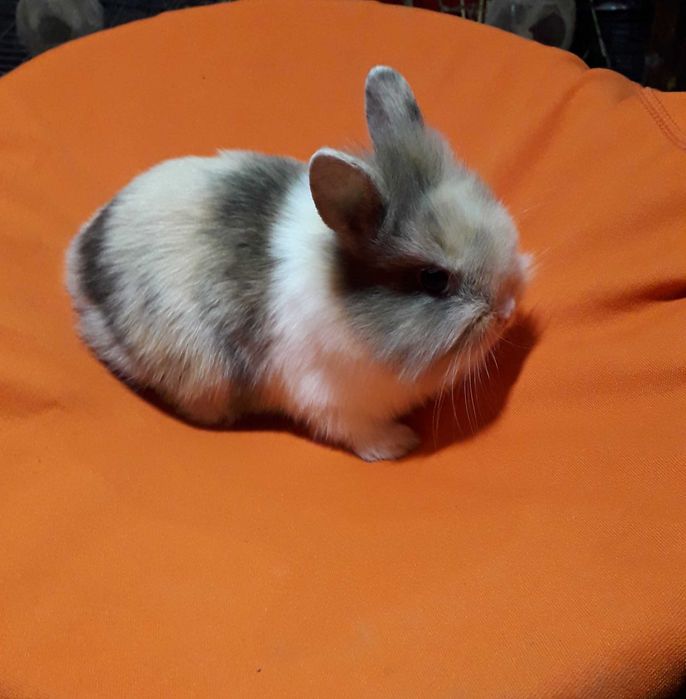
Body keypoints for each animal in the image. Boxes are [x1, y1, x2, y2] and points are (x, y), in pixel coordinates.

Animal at [65, 66, 531, 461]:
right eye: (434, 279)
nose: (507, 311)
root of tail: (79, 256)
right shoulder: (333, 401)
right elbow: (360, 433)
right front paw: (401, 444)